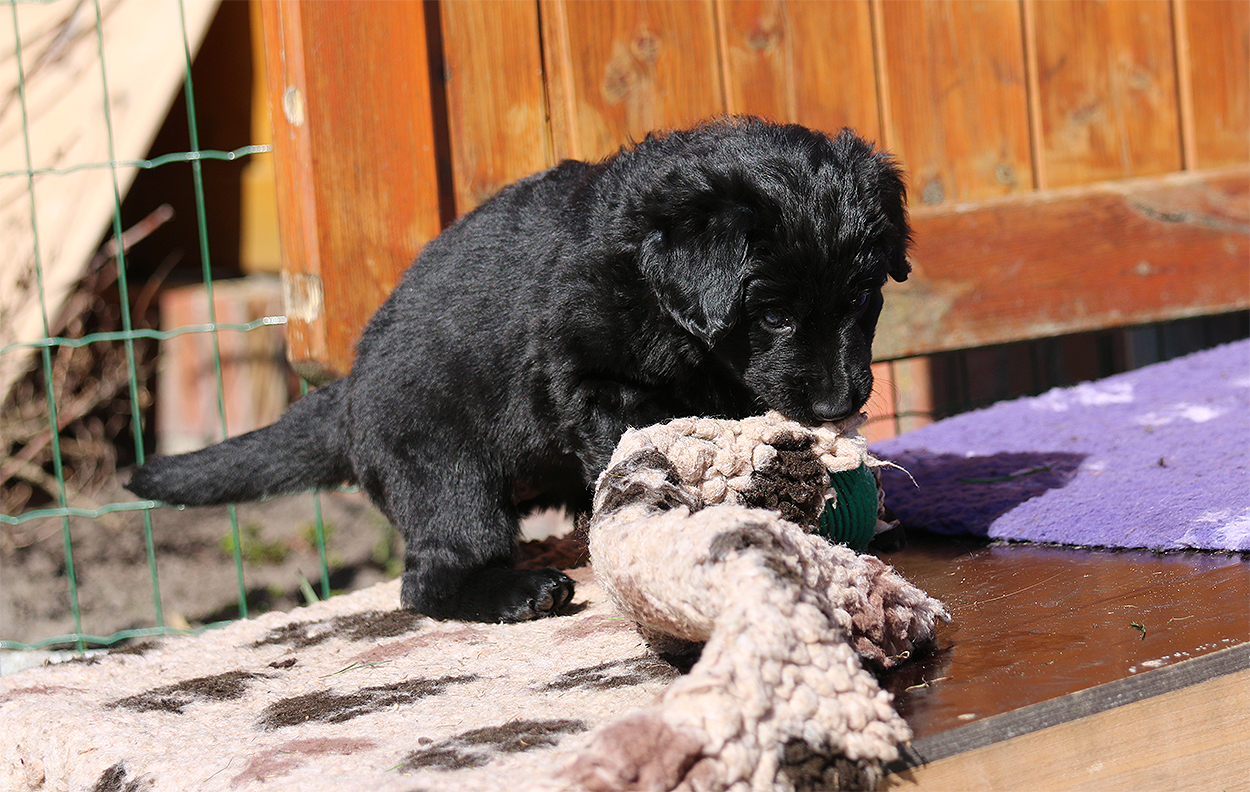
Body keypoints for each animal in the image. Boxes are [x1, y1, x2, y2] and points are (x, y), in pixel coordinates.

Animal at [127, 117, 911, 623]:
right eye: (772, 314)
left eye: (861, 298)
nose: (839, 402)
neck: (655, 289)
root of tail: (343, 400)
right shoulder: (594, 383)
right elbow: (643, 448)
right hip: (447, 472)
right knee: (430, 577)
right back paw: (516, 594)